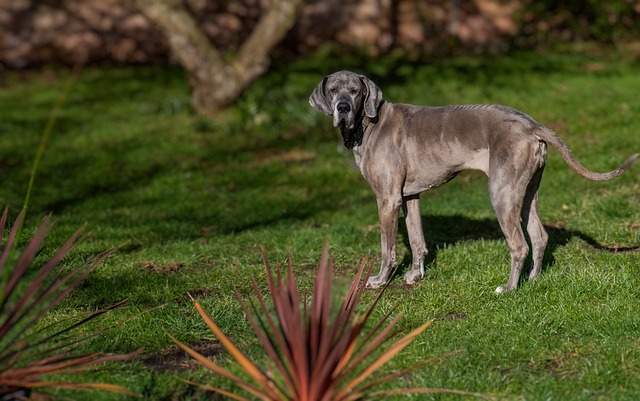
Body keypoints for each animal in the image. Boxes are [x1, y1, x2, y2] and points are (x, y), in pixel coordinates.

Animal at [308, 70, 636, 292]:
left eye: (355, 90)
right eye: (334, 89)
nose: (342, 107)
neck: (367, 125)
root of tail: (531, 125)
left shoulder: (387, 199)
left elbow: (387, 248)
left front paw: (379, 280)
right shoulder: (409, 197)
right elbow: (417, 240)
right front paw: (415, 276)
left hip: (502, 192)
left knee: (519, 245)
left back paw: (509, 288)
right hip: (527, 191)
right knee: (539, 236)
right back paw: (532, 279)